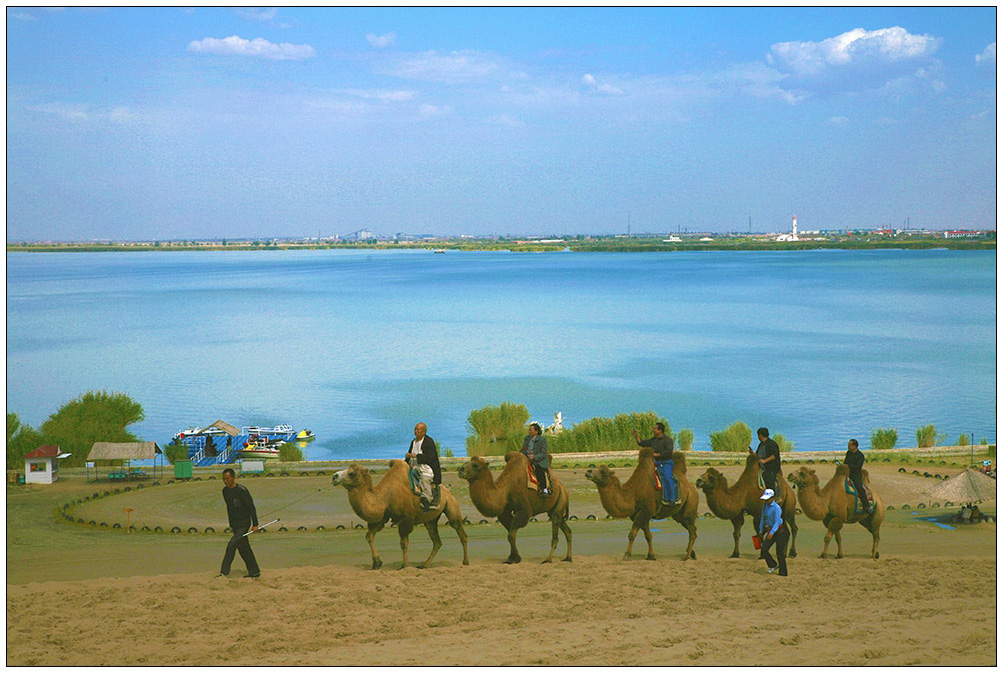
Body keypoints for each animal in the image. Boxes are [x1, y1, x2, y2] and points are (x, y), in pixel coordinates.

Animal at [330, 456, 466, 568]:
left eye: (351, 473)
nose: (334, 476)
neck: (385, 496)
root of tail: (448, 492)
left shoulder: (406, 519)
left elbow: (403, 543)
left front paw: (404, 565)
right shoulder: (383, 517)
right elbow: (369, 536)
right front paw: (377, 563)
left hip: (451, 506)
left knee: (460, 531)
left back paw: (465, 562)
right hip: (431, 520)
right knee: (437, 541)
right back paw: (424, 565)